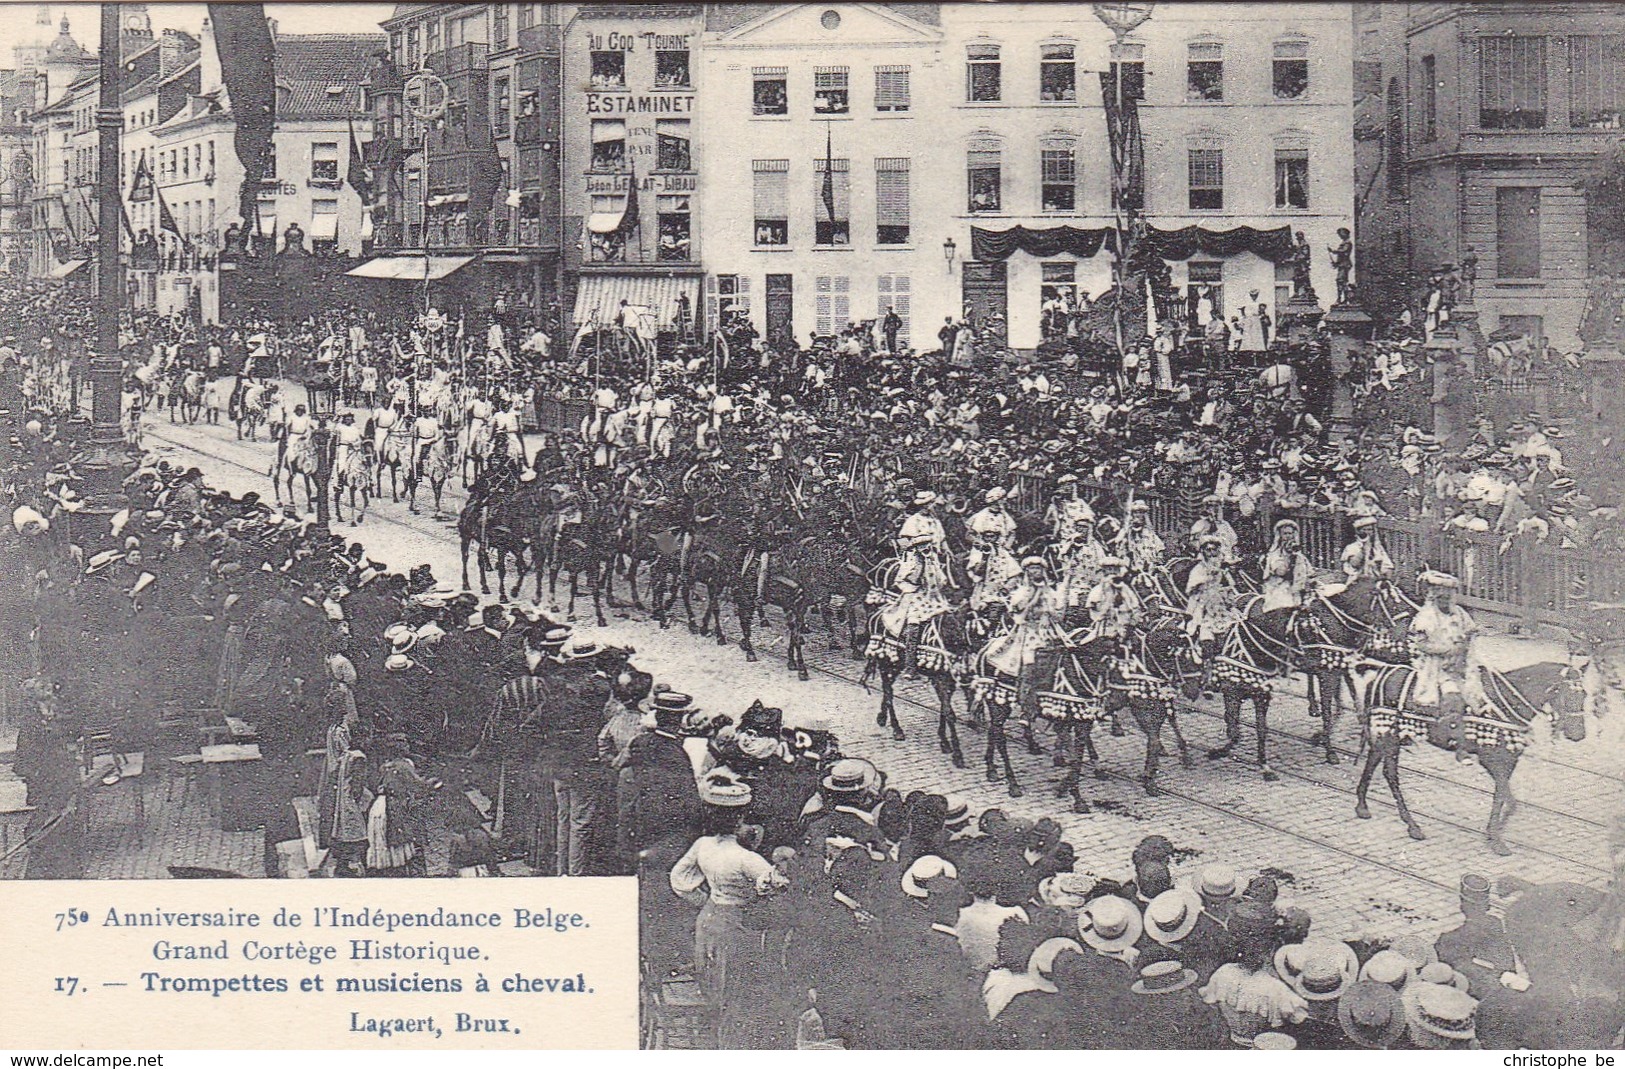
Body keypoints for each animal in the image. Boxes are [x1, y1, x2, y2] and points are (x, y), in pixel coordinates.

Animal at [1352, 653, 1592, 851]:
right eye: (1568, 695)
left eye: (1585, 695)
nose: (1578, 734)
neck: (1506, 701)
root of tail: (1381, 674)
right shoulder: (1490, 758)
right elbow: (1505, 796)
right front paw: (1496, 837)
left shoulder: (1509, 759)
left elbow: (1504, 797)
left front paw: (1494, 832)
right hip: (1392, 737)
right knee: (1390, 774)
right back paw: (1412, 825)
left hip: (1387, 736)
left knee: (1372, 760)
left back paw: (1362, 805)